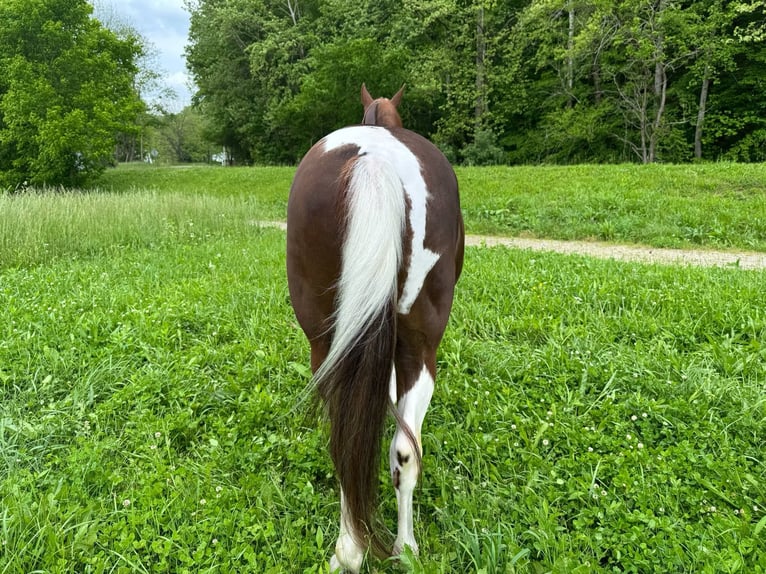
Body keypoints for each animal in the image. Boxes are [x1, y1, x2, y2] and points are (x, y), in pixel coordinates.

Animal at [286, 83, 464, 572]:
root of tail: (373, 161)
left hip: (329, 345)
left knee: (358, 442)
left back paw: (355, 548)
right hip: (419, 347)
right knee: (399, 447)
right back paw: (399, 547)